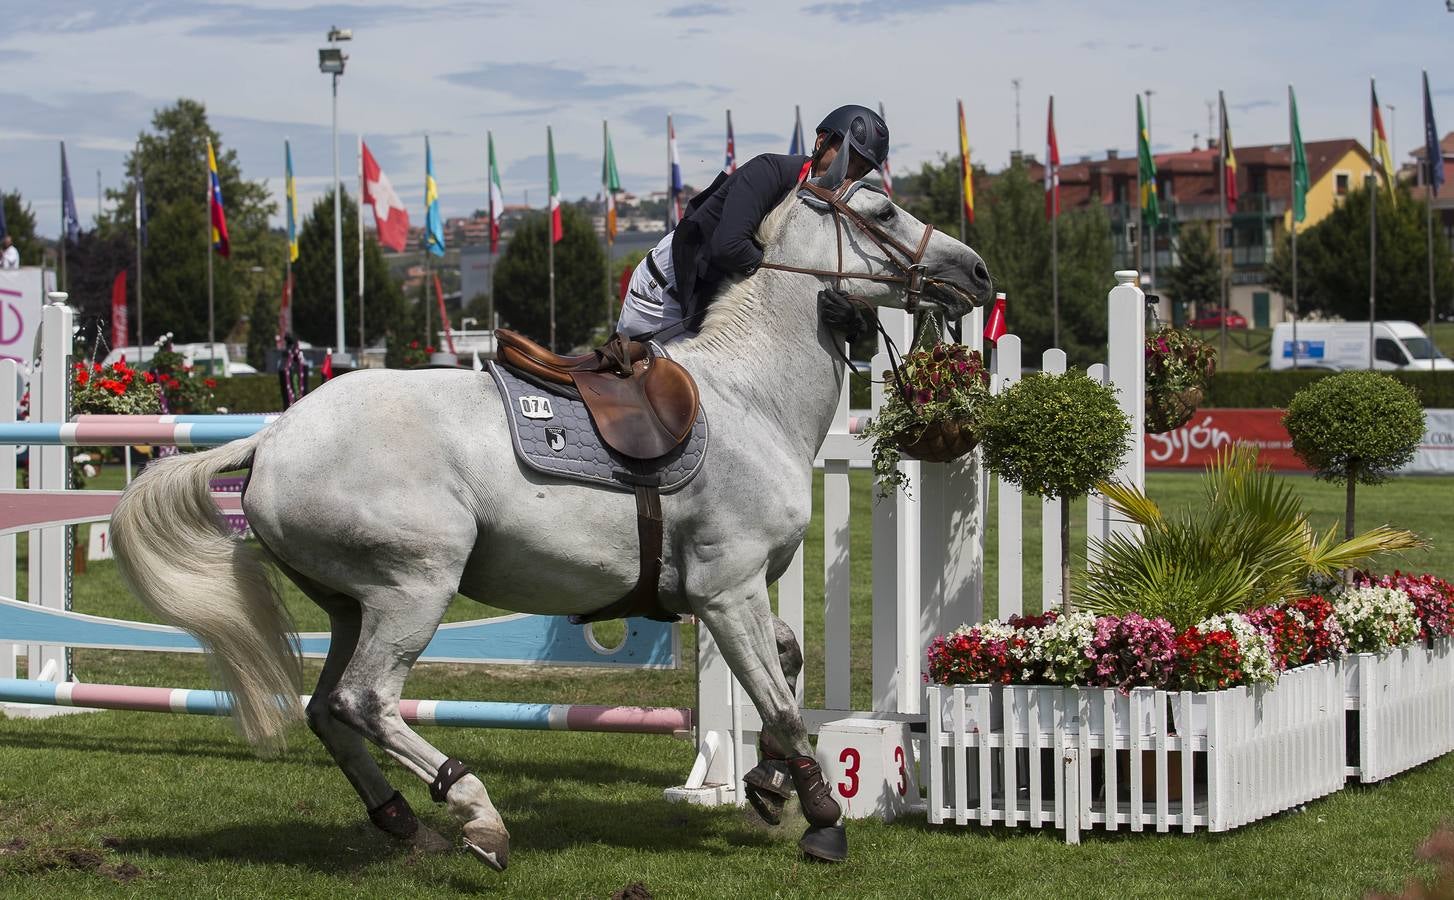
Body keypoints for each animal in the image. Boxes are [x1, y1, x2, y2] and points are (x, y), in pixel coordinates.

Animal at [110, 179, 988, 872]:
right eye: (882, 208)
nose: (974, 270)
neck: (750, 396)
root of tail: (275, 435)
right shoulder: (726, 589)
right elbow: (776, 702)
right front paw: (821, 816)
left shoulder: (732, 595)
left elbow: (789, 664)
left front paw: (770, 783)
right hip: (411, 589)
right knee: (367, 702)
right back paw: (477, 814)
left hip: (349, 606)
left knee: (328, 710)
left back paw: (404, 823)